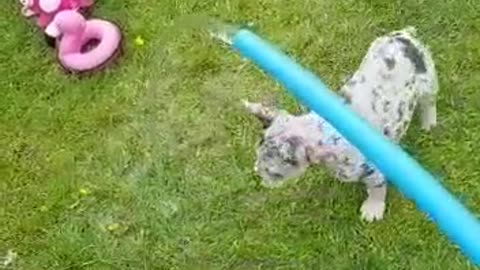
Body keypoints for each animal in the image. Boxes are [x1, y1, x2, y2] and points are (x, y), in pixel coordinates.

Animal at [244, 26, 438, 221]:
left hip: (428, 79)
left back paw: (429, 124)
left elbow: (376, 189)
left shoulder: (374, 170)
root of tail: (404, 35)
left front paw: (372, 211)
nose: (257, 174)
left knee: (429, 102)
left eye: (273, 172)